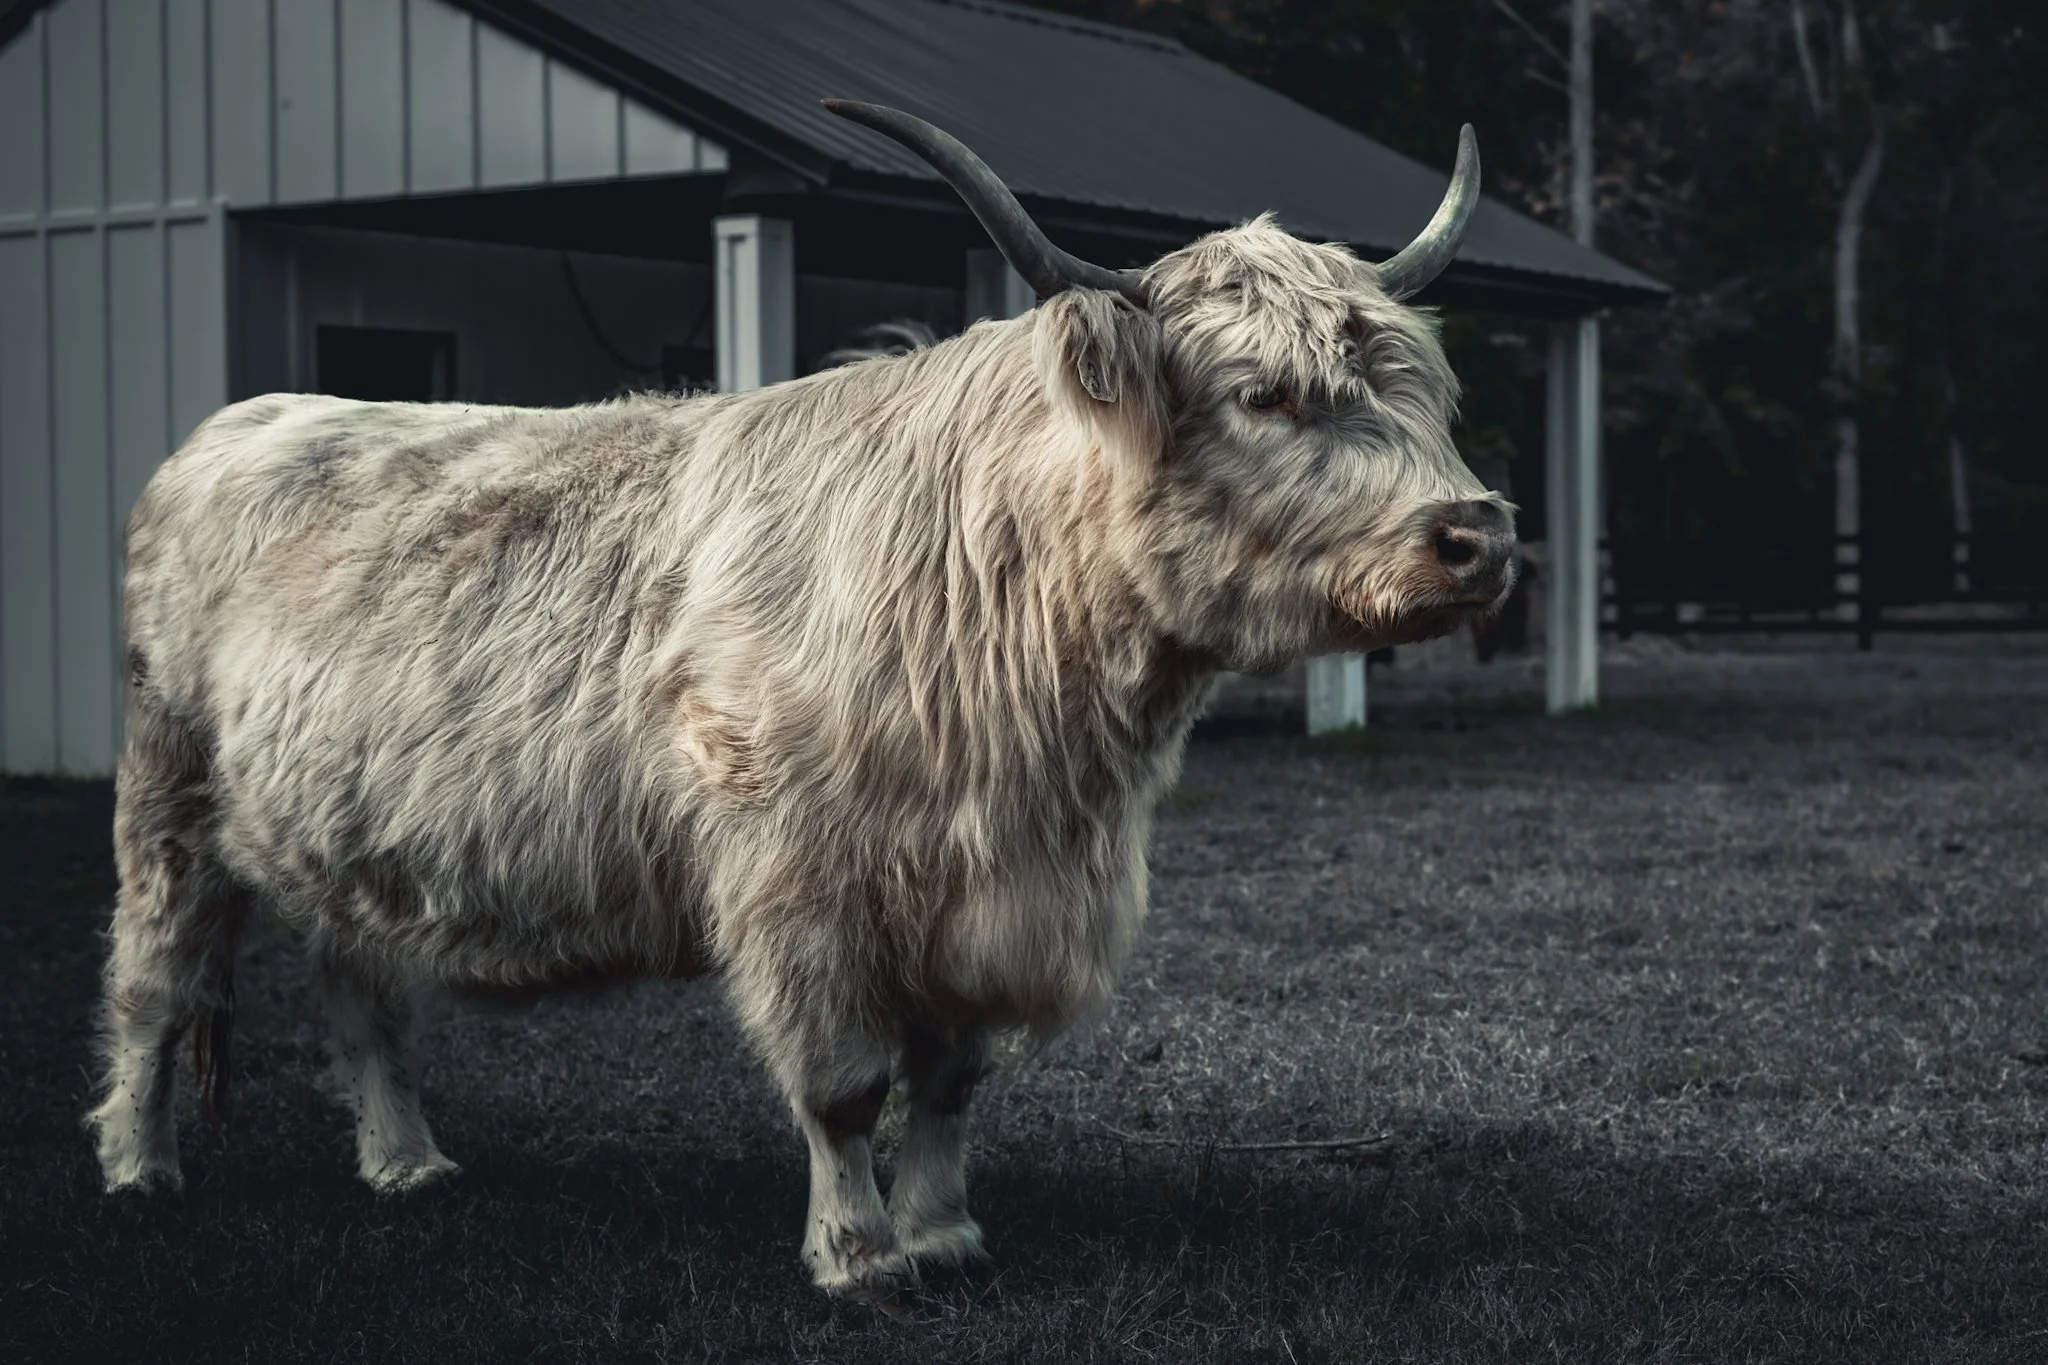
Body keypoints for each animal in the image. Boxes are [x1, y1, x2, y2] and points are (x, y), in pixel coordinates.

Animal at [87, 100, 1514, 1305]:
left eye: (1417, 391)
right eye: (1263, 394)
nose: (1477, 536)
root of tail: (240, 420)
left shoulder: (976, 894)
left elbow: (948, 1080)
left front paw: (944, 1233)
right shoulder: (798, 883)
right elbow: (842, 1086)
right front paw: (859, 1256)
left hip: (355, 831)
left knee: (361, 994)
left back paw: (406, 1166)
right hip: (169, 798)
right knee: (153, 982)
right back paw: (139, 1171)